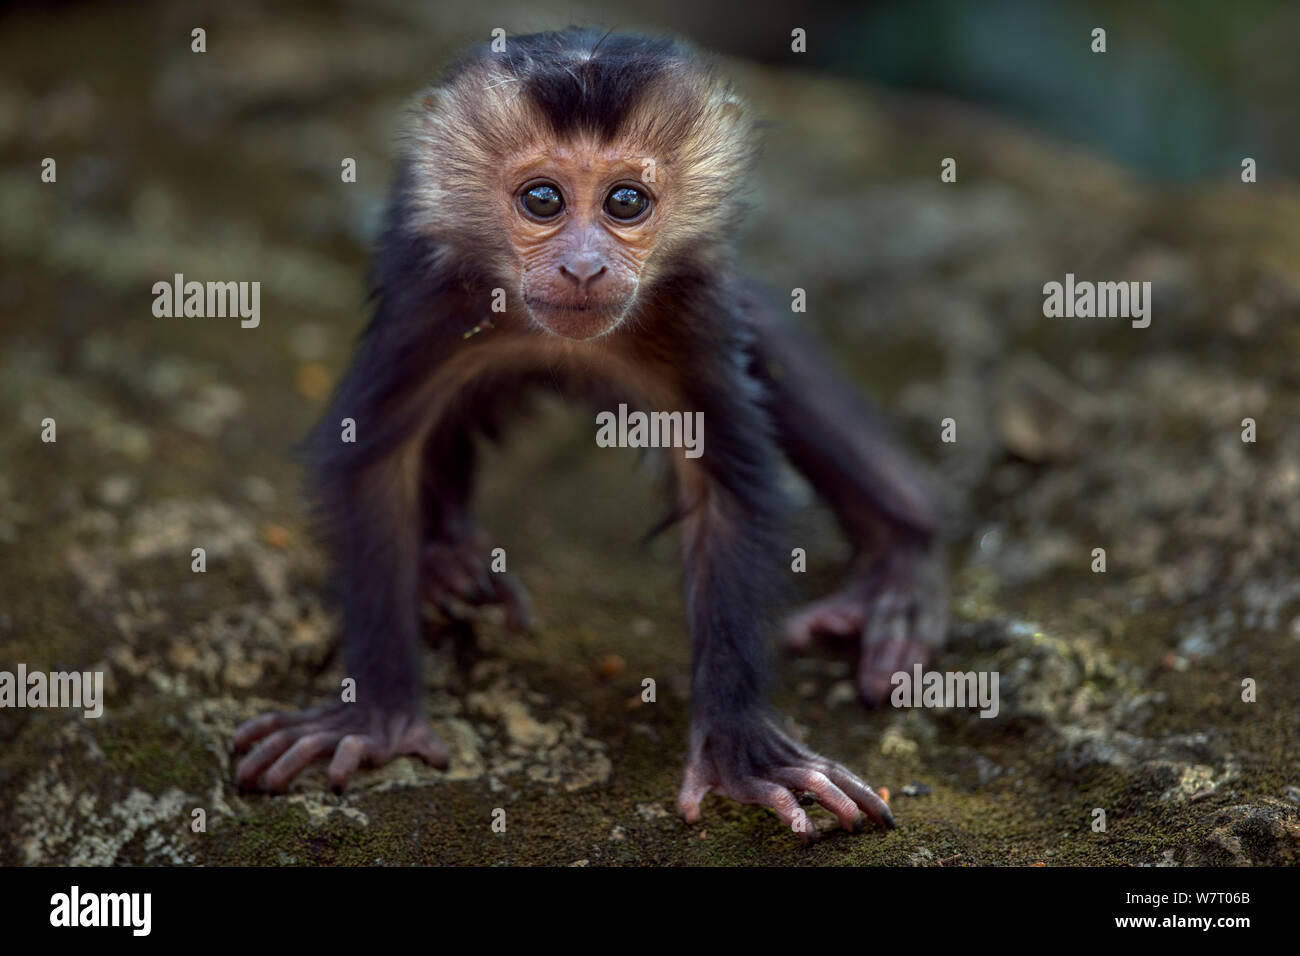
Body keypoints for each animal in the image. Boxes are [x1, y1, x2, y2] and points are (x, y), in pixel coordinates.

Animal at [233, 26, 946, 842]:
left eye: (625, 201)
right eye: (542, 199)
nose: (582, 267)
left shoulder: (692, 311)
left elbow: (729, 486)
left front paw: (741, 751)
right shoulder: (430, 302)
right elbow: (373, 463)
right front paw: (374, 718)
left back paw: (902, 566)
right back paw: (446, 564)